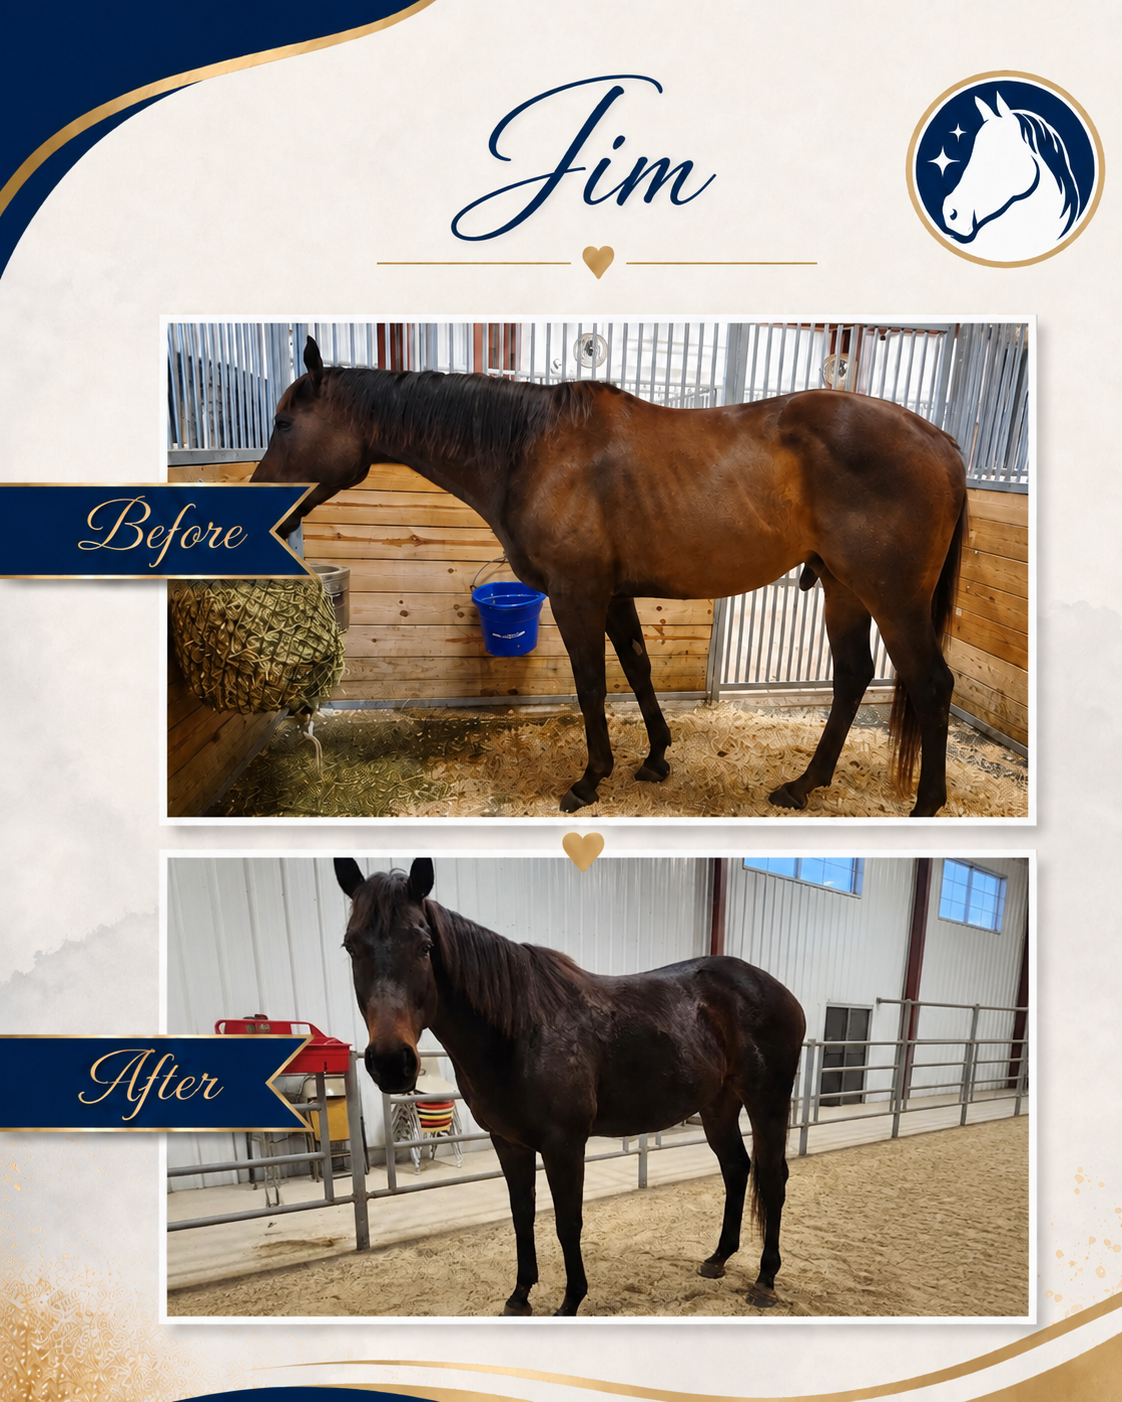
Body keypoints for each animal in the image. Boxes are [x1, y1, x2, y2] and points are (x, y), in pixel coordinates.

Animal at [253, 337, 968, 816]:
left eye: (284, 421)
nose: (261, 505)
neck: (532, 450)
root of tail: (941, 441)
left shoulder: (578, 595)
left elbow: (592, 684)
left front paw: (590, 778)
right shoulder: (616, 594)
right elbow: (638, 669)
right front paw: (654, 758)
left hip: (892, 599)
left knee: (932, 684)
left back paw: (925, 805)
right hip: (846, 590)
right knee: (851, 679)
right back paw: (802, 785)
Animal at [335, 857, 806, 1317]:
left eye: (425, 946)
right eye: (350, 946)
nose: (391, 1062)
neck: (521, 1031)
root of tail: (779, 992)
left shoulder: (564, 1145)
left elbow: (567, 1221)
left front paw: (571, 1300)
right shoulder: (510, 1142)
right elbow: (522, 1214)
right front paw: (520, 1295)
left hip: (767, 1102)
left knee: (774, 1176)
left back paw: (765, 1280)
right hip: (718, 1105)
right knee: (736, 1168)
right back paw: (718, 1259)